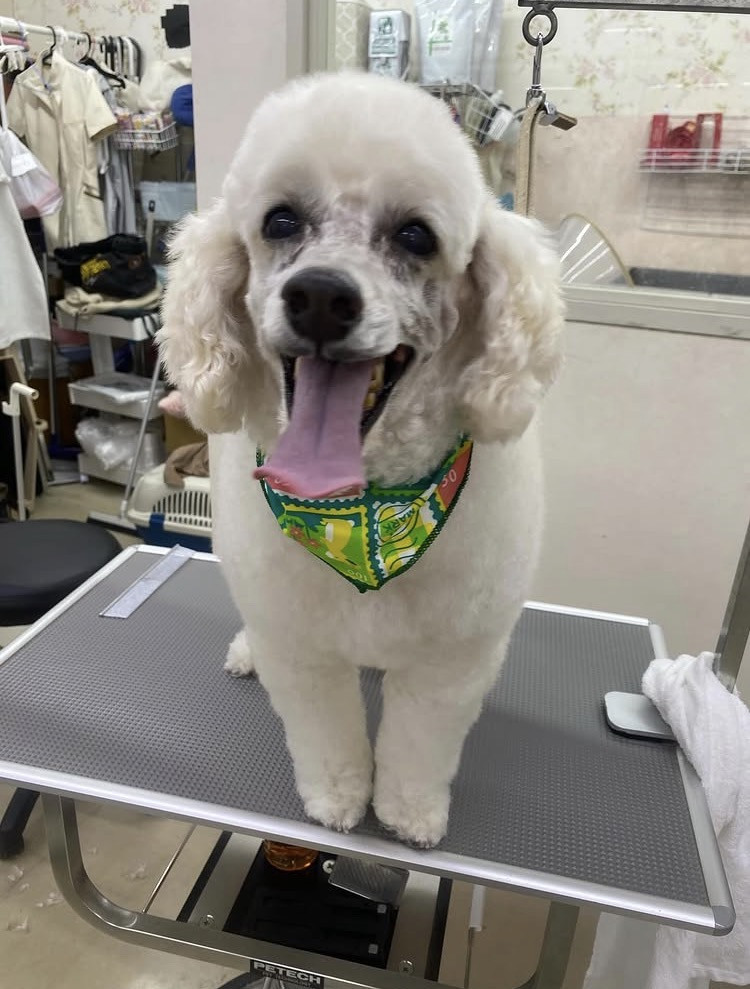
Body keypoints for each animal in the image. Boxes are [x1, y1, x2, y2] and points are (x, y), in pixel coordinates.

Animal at [159, 72, 563, 848]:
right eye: (281, 220)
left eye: (415, 235)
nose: (320, 296)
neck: (364, 510)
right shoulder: (301, 647)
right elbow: (324, 733)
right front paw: (337, 799)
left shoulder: (451, 657)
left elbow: (419, 742)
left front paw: (408, 812)